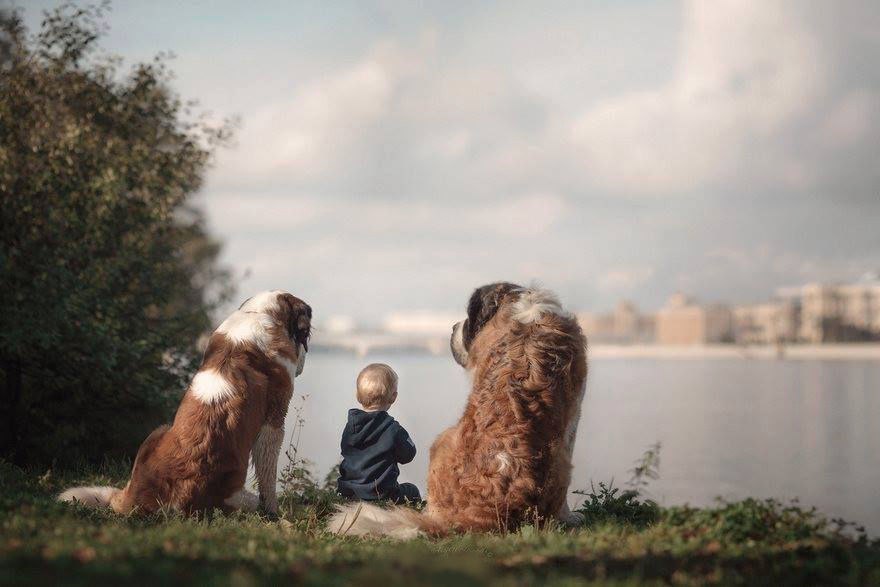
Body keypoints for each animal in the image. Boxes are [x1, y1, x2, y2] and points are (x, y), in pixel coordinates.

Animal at [59, 290, 312, 516]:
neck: (260, 313)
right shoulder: (274, 421)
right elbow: (267, 477)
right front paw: (274, 512)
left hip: (156, 431)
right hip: (238, 497)